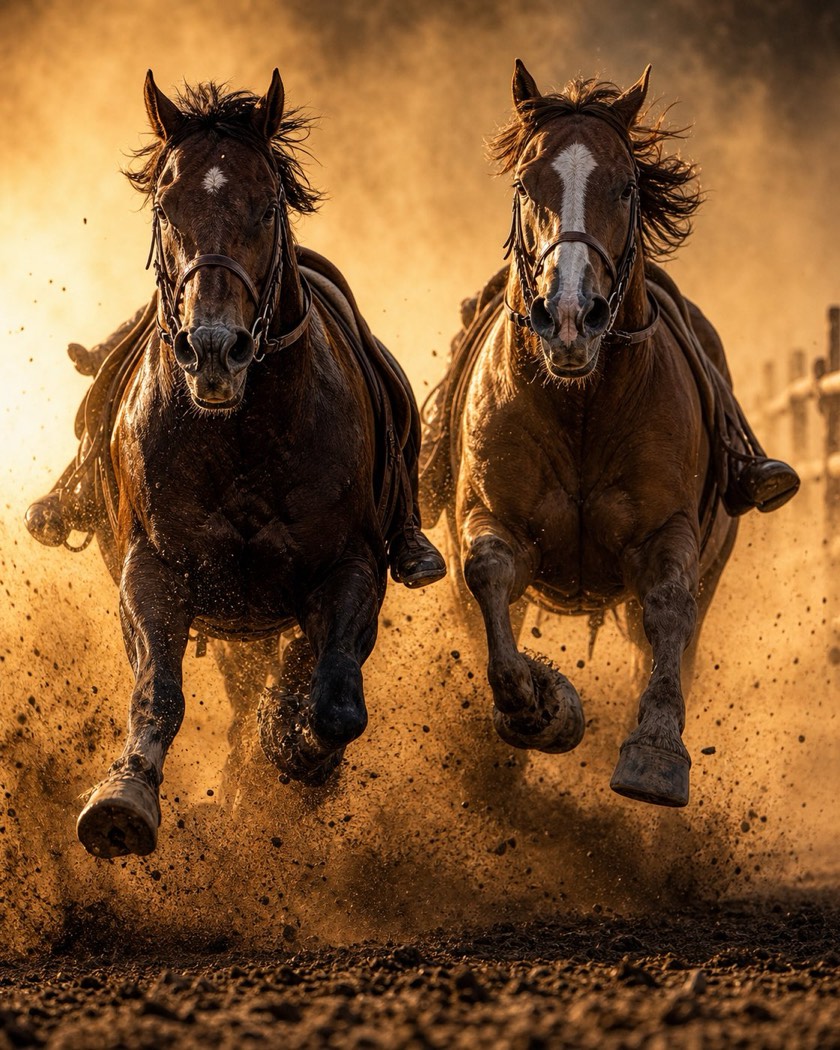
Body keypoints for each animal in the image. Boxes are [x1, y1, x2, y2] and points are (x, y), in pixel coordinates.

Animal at [62, 70, 440, 859]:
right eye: (167, 206)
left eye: (267, 206)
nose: (214, 349)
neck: (239, 438)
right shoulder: (155, 567)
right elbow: (158, 690)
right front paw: (122, 800)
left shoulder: (353, 567)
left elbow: (333, 704)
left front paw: (296, 751)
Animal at [421, 62, 742, 809]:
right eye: (525, 184)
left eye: (623, 186)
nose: (569, 315)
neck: (581, 408)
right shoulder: (490, 519)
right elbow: (487, 579)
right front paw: (543, 706)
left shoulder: (668, 534)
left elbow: (669, 607)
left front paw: (654, 753)